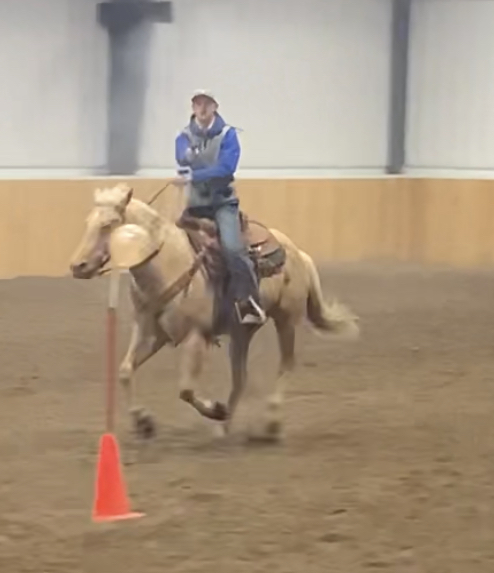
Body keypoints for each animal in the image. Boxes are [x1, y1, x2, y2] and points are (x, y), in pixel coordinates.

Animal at [69, 181, 358, 440]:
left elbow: (186, 389)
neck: (168, 264)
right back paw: (224, 428)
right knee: (240, 379)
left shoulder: (197, 336)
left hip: (286, 320)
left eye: (108, 224)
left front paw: (215, 410)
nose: (77, 266)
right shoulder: (151, 332)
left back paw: (270, 422)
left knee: (285, 365)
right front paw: (143, 422)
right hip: (242, 332)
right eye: (88, 222)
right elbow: (125, 371)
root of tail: (298, 253)